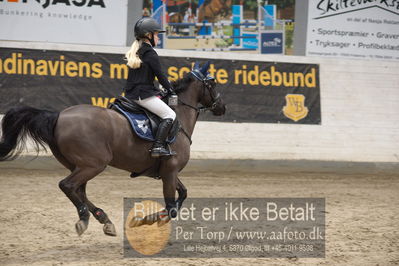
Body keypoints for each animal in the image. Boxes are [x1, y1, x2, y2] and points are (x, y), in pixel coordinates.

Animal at [0, 63, 225, 236]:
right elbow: (171, 209)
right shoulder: (170, 170)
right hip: (93, 164)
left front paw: (144, 219)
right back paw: (84, 218)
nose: (222, 107)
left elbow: (183, 194)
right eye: (212, 83)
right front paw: (147, 219)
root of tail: (59, 115)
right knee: (68, 185)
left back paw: (104, 220)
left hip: (80, 165)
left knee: (79, 190)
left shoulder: (167, 171)